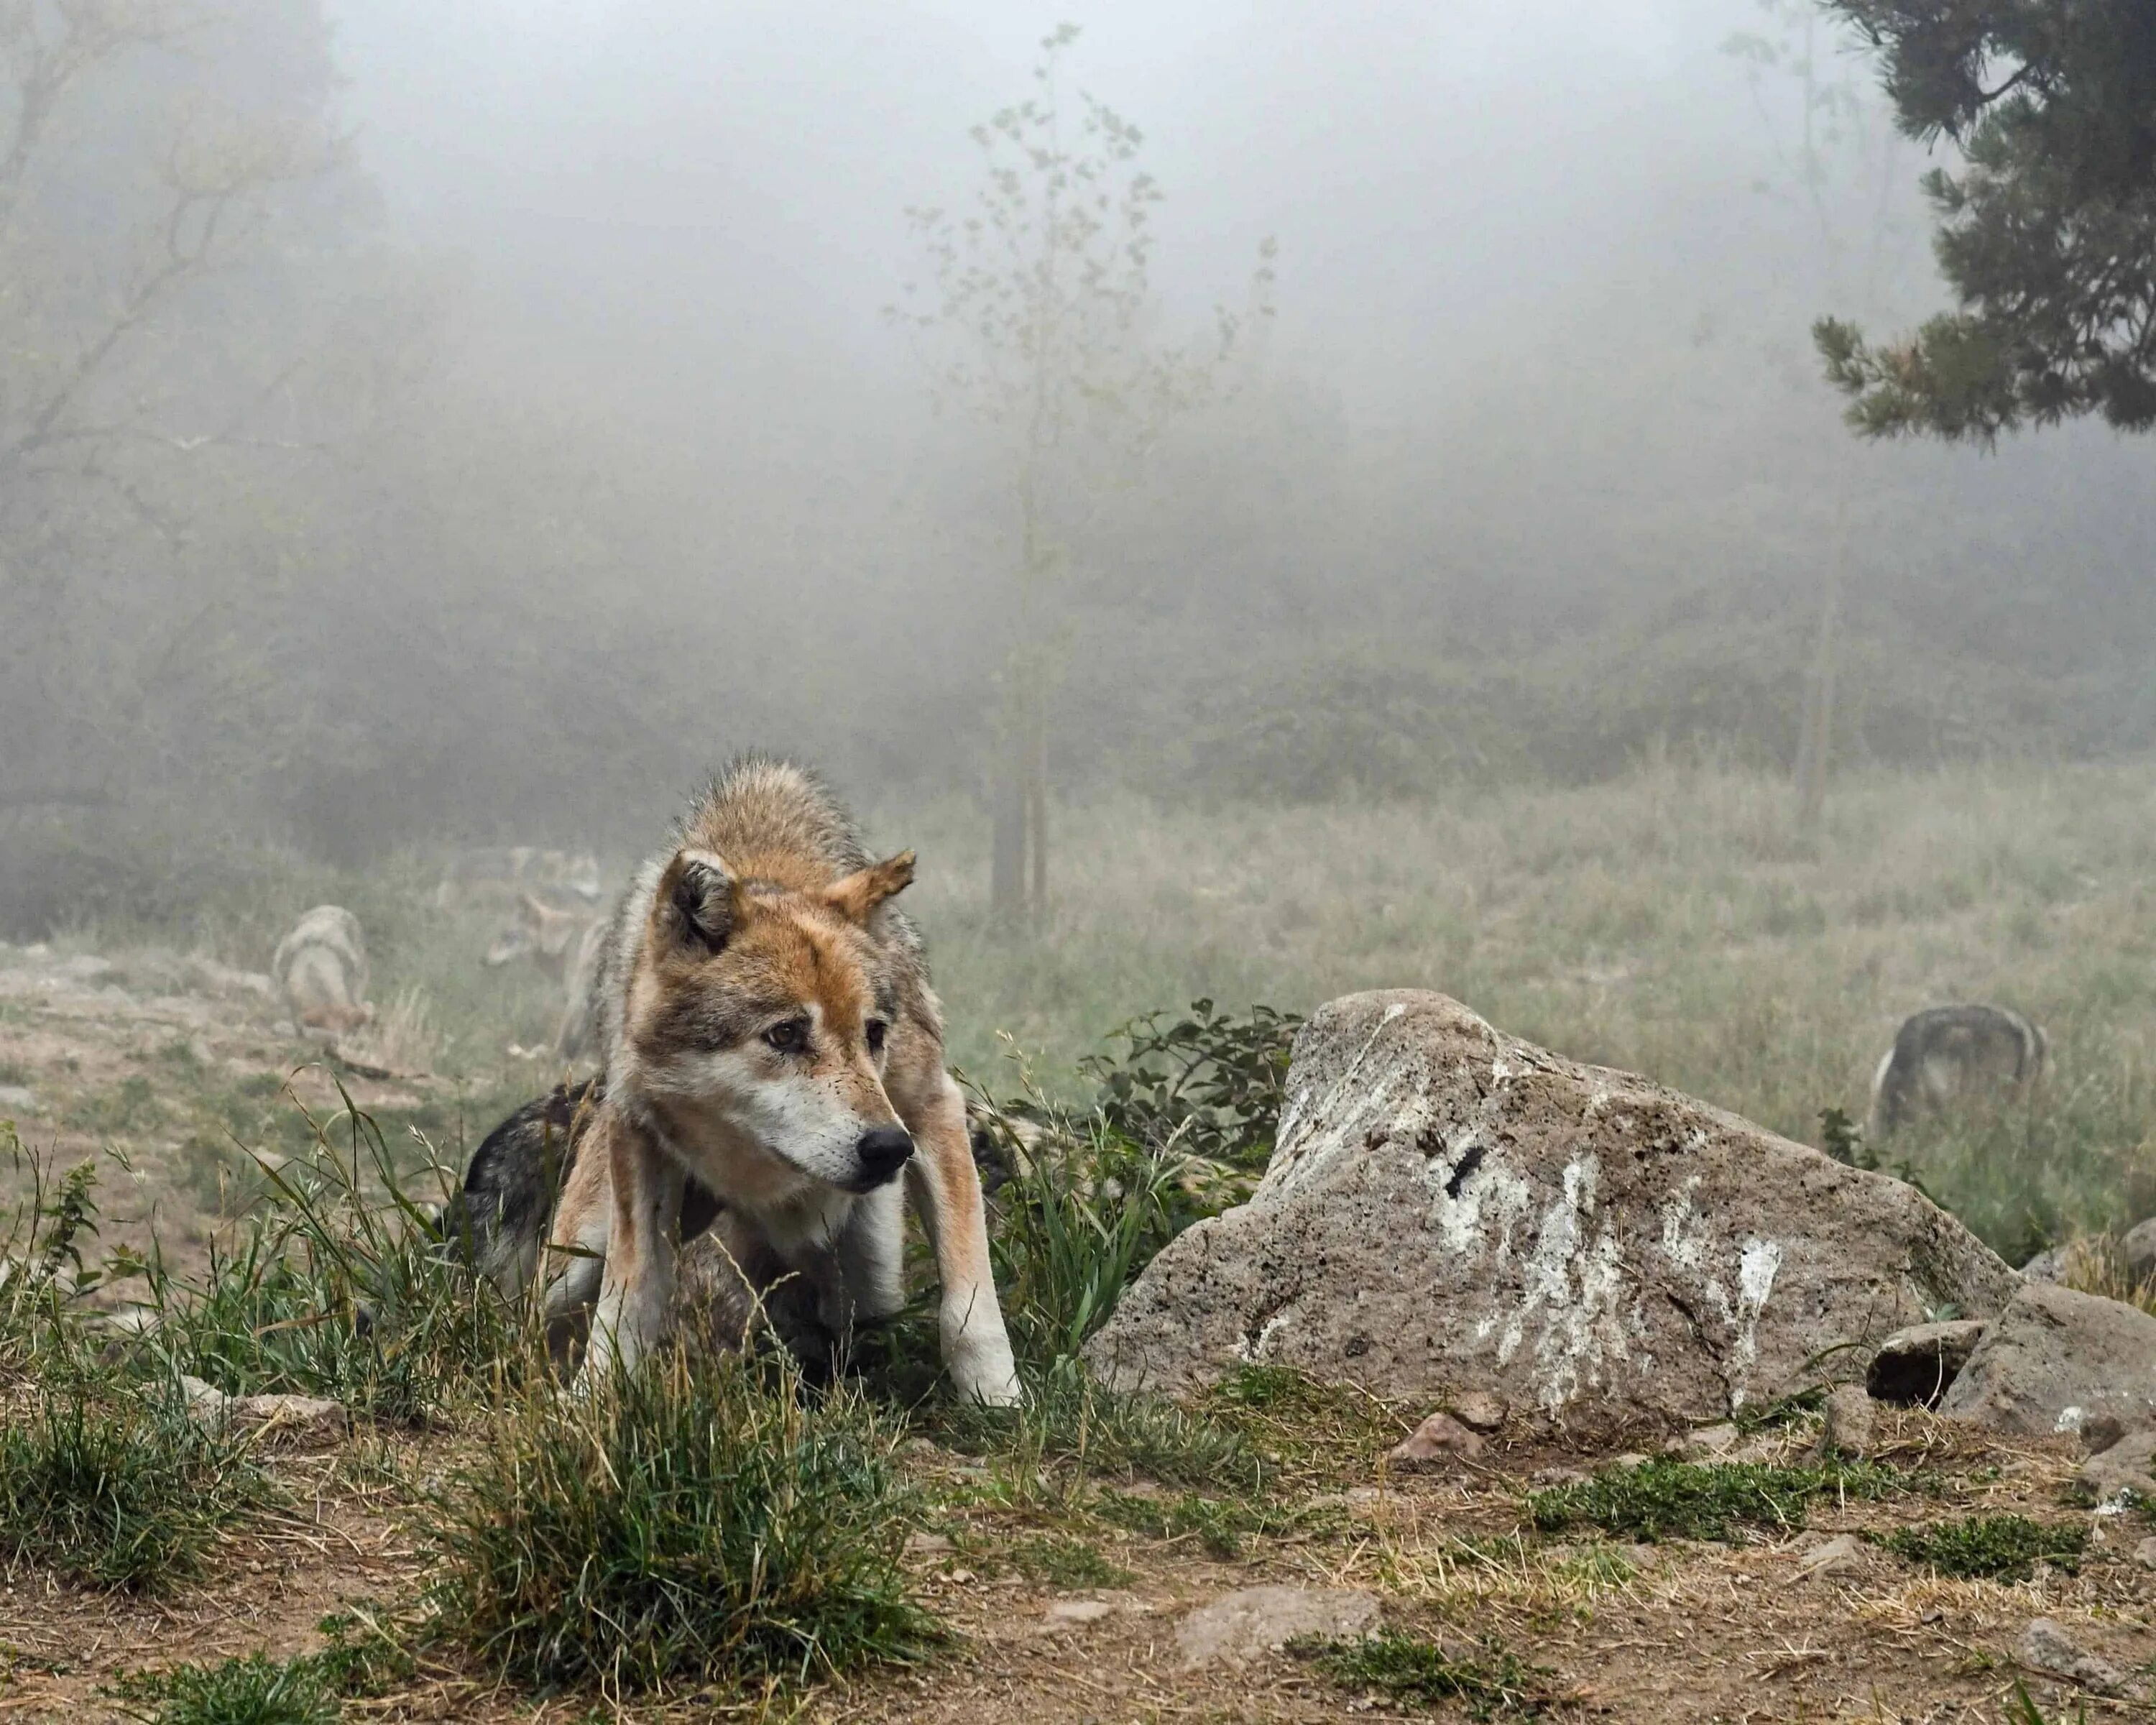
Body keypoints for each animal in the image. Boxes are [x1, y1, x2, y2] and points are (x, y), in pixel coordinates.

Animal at [479, 897, 604, 1057]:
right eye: (503, 935)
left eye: (507, 937)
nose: (483, 960)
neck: (562, 942)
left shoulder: (576, 1000)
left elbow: (558, 1046)